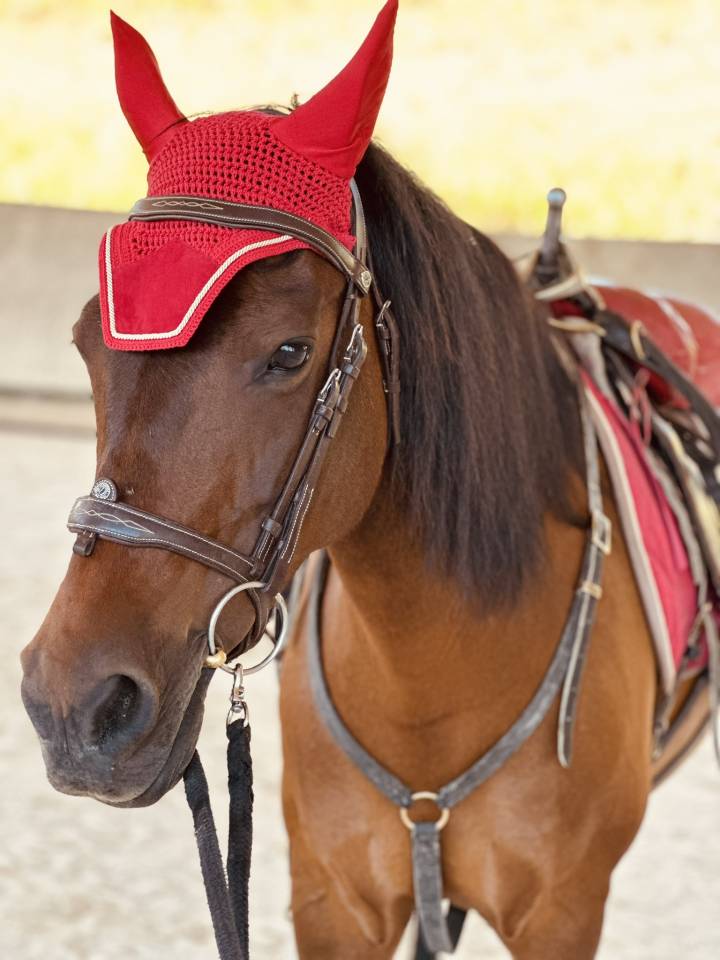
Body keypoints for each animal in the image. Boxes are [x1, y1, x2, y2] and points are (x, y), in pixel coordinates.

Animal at [20, 5, 713, 959]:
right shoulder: (334, 903)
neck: (432, 666)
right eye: (90, 339)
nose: (76, 705)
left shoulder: (564, 914)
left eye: (289, 351)